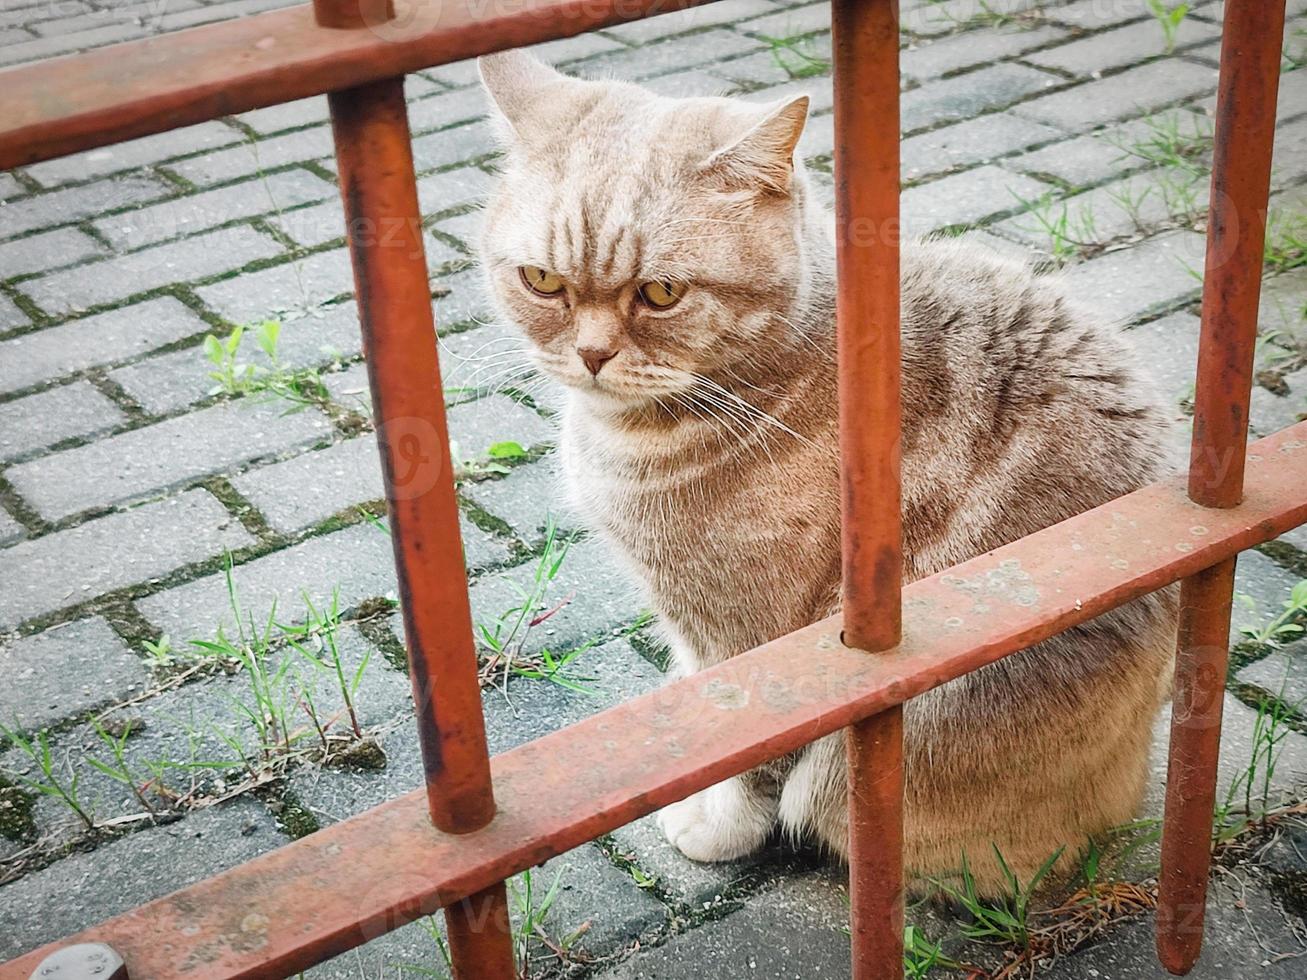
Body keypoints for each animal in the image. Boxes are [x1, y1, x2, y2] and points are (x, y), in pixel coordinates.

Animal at [475, 53, 1181, 898]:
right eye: (542, 281)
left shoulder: (751, 636)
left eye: (662, 293)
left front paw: (717, 827)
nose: (589, 355)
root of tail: (1129, 796)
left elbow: (746, 754)